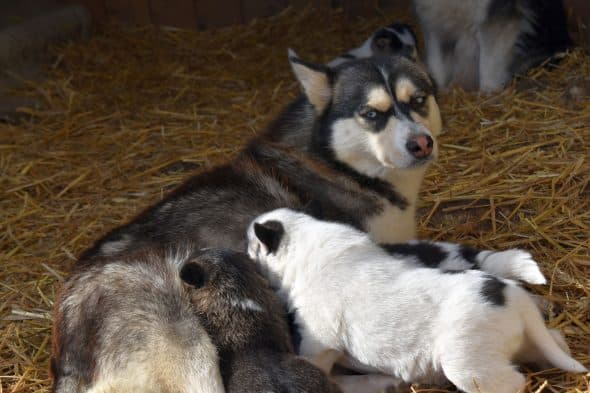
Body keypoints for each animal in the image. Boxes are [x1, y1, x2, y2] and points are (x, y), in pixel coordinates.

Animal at [246, 208, 588, 392]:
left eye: (251, 246)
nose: (244, 253)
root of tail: (510, 294)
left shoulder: (318, 343)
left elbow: (318, 367)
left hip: (470, 366)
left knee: (514, 382)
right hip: (523, 344)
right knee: (555, 340)